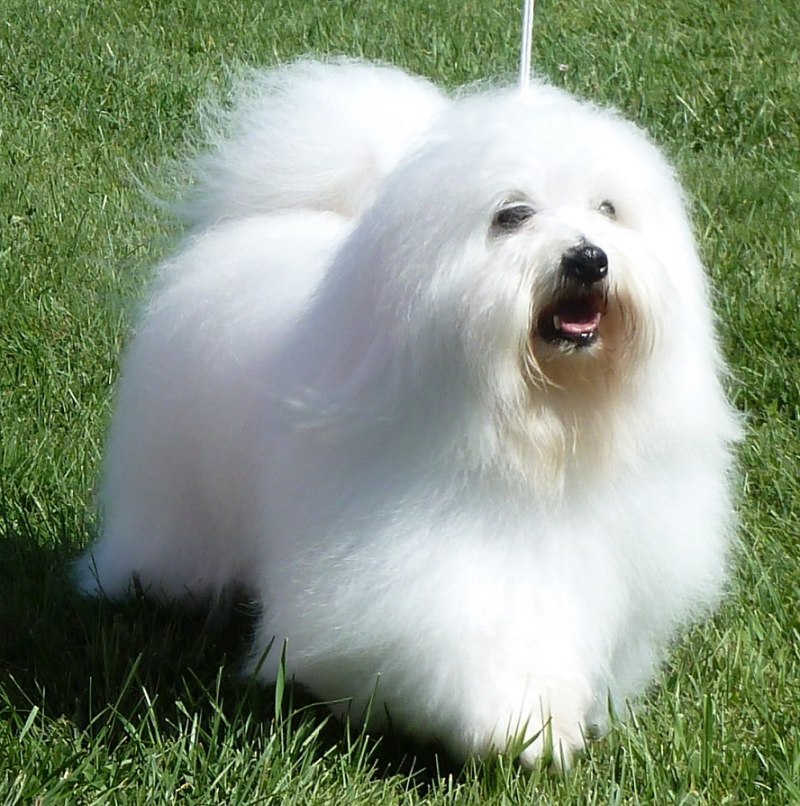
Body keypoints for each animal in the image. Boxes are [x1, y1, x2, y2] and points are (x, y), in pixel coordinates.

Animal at [75, 59, 739, 766]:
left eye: (608, 209)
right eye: (512, 215)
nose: (588, 257)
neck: (546, 428)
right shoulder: (420, 566)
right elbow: (459, 644)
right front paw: (511, 727)